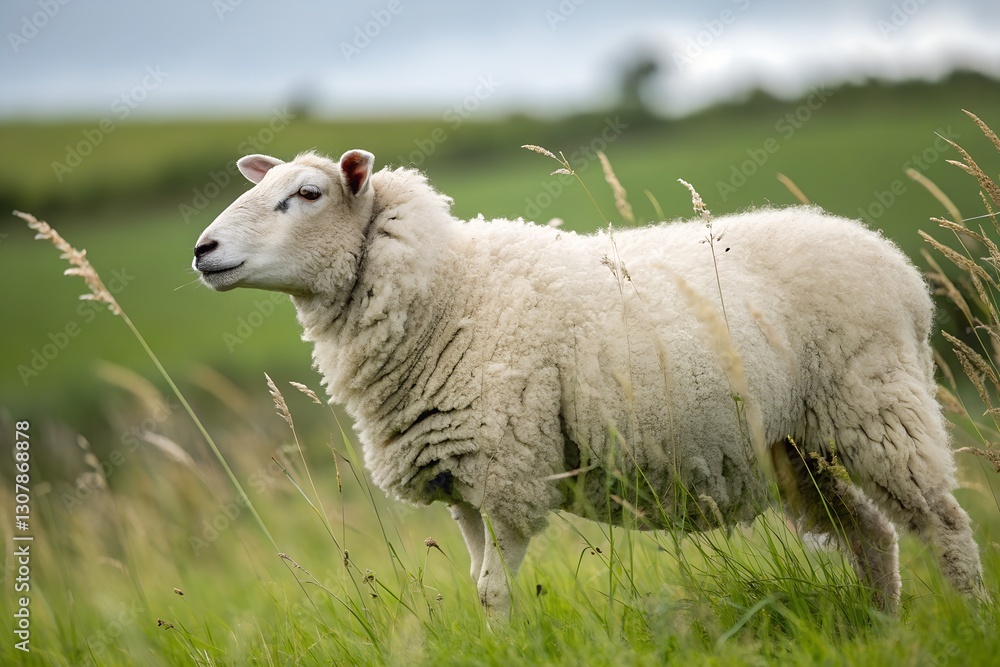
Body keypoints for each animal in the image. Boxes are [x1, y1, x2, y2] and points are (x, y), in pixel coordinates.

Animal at [192, 148, 987, 617]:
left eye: (307, 193)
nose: (203, 249)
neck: (449, 290)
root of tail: (900, 267)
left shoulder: (507, 471)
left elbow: (494, 591)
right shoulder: (460, 479)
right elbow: (478, 589)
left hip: (878, 405)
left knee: (943, 524)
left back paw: (972, 617)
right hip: (795, 445)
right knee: (873, 535)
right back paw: (884, 627)